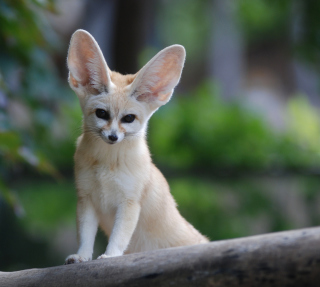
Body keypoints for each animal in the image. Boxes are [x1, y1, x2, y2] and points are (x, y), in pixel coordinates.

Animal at [66, 29, 209, 266]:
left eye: (129, 118)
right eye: (102, 114)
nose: (113, 137)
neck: (106, 165)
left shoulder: (130, 203)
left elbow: (119, 236)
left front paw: (110, 256)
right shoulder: (86, 199)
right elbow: (85, 235)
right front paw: (82, 256)